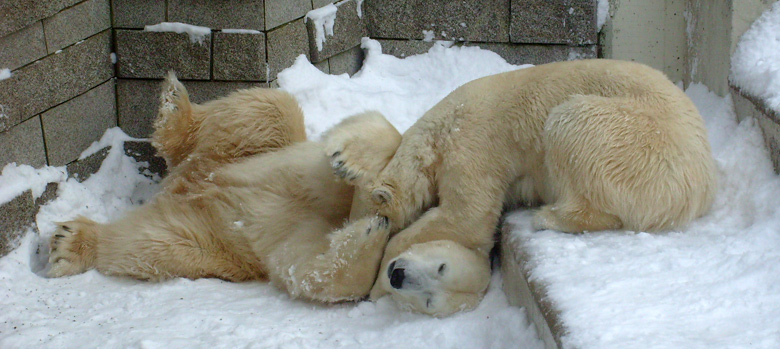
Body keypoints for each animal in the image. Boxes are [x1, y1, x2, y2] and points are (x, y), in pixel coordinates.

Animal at [47, 73, 402, 302]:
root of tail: (181, 185)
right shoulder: (315, 179)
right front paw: (350, 160)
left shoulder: (293, 240)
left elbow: (303, 263)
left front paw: (372, 229)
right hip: (250, 151)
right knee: (269, 107)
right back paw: (176, 103)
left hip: (213, 239)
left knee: (151, 242)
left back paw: (71, 242)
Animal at [324, 59, 720, 316]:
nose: (394, 276)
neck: (442, 128)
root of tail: (702, 186)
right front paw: (343, 157)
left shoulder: (473, 145)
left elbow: (467, 217)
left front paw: (377, 283)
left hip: (635, 139)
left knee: (572, 123)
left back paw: (550, 216)